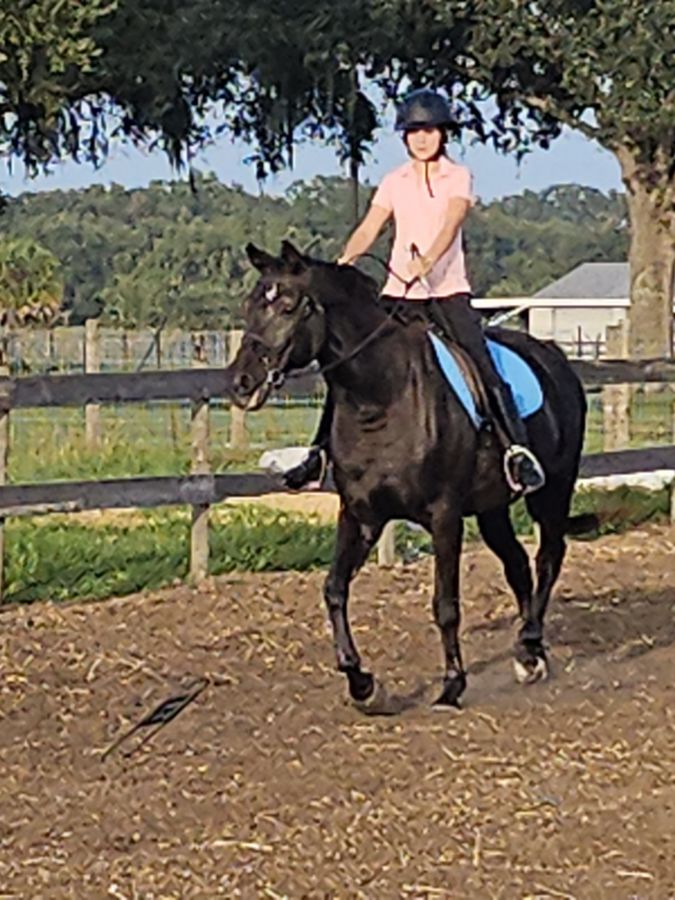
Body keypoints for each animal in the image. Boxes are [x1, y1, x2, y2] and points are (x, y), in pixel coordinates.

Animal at [226, 243, 592, 712]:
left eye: (288, 306)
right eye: (250, 305)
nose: (241, 383)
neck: (380, 395)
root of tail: (555, 356)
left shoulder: (444, 516)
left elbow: (445, 604)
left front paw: (452, 686)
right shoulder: (361, 515)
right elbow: (334, 589)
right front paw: (362, 683)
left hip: (553, 490)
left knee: (548, 556)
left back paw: (529, 644)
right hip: (492, 509)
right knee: (517, 564)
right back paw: (529, 656)